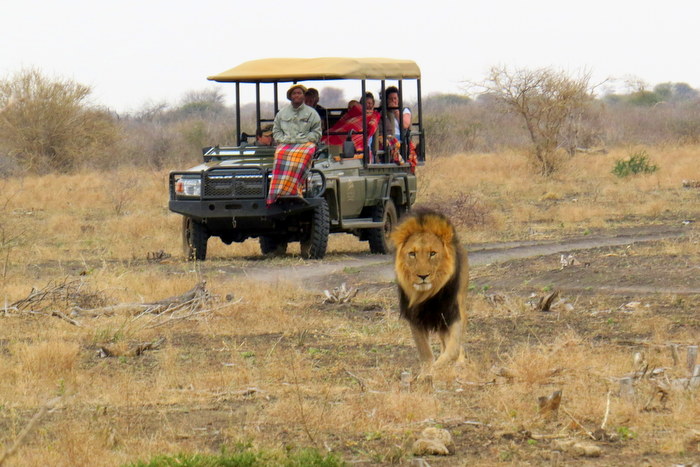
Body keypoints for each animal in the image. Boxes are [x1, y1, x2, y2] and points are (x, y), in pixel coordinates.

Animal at [392, 210, 468, 372]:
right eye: (412, 254)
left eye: (432, 253)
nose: (423, 276)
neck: (427, 296)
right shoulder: (415, 319)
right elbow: (425, 353)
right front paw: (427, 372)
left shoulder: (453, 314)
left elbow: (453, 349)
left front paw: (440, 367)